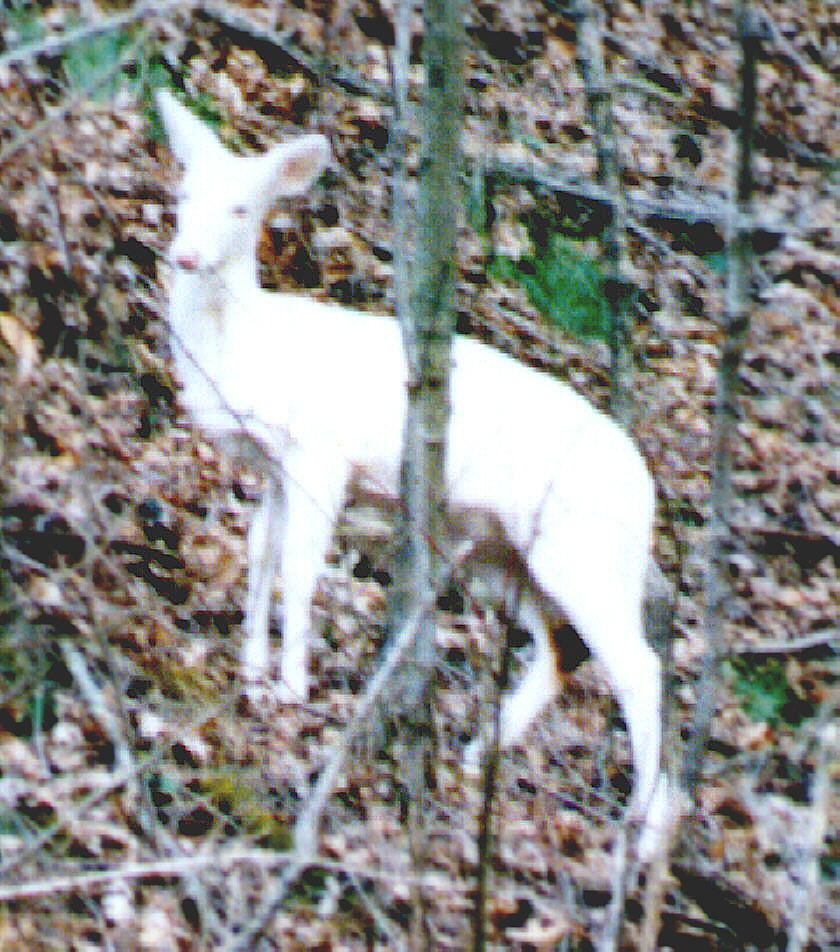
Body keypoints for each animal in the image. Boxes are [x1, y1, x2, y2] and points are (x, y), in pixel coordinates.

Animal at [155, 89, 670, 857]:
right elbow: (259, 553)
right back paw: (477, 754)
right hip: (506, 556)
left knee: (641, 668)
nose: (184, 255)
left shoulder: (321, 453)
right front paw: (249, 666)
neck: (249, 346)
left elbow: (299, 568)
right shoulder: (276, 465)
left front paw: (291, 686)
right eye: (184, 193)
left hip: (583, 552)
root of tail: (648, 493)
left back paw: (646, 829)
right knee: (561, 654)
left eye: (244, 208)